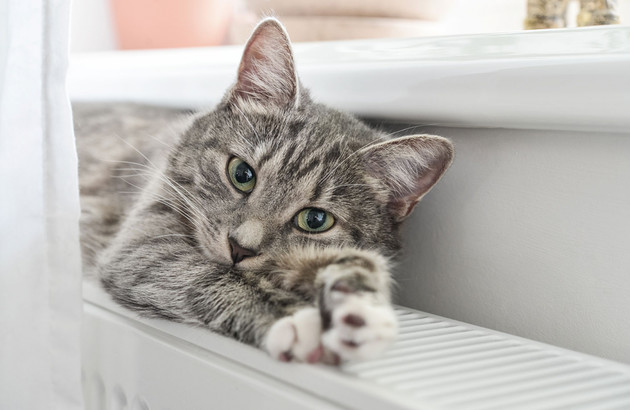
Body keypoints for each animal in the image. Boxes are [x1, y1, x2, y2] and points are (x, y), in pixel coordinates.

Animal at [75, 17, 454, 364]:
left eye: (315, 220)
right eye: (242, 173)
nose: (239, 247)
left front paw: (359, 305)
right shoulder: (142, 242)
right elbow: (207, 273)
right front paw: (294, 318)